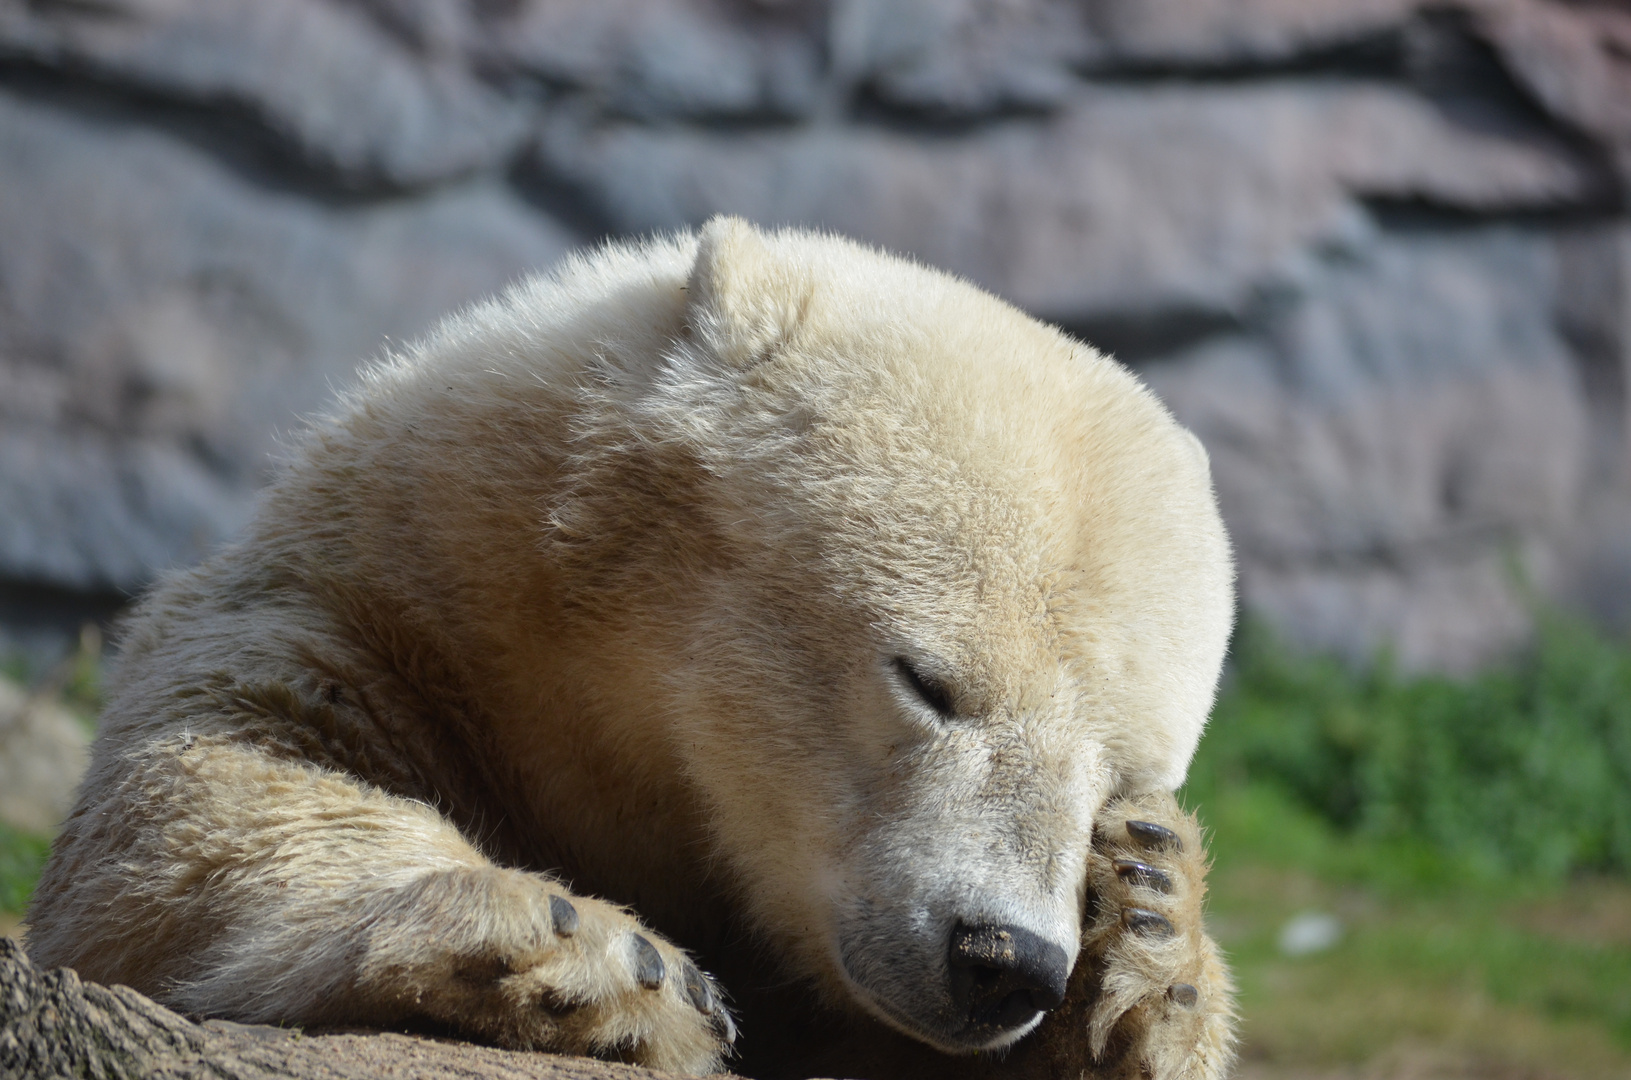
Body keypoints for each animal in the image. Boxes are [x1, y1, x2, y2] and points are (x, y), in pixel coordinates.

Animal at [28, 220, 1233, 1080]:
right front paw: (588, 957)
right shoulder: (375, 611)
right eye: (928, 683)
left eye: (1125, 776)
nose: (1001, 964)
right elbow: (187, 819)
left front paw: (1145, 928)